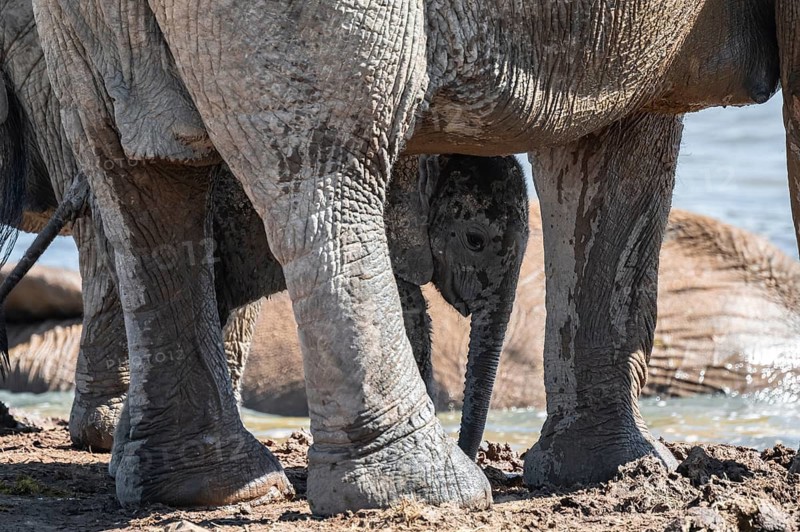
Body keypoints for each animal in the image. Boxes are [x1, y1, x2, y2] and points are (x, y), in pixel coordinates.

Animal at [16, 0, 792, 515]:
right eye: (475, 242)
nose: (483, 449)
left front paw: (608, 473)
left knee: (132, 176)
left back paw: (206, 486)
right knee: (324, 163)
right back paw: (430, 494)